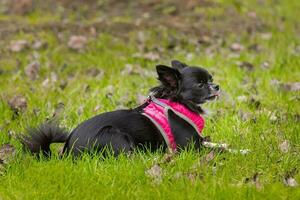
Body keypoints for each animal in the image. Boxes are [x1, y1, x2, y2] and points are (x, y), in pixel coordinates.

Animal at [21, 60, 218, 157]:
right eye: (200, 84)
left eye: (211, 79)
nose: (216, 86)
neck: (179, 102)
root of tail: (67, 152)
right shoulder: (190, 147)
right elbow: (217, 149)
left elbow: (215, 143)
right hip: (114, 135)